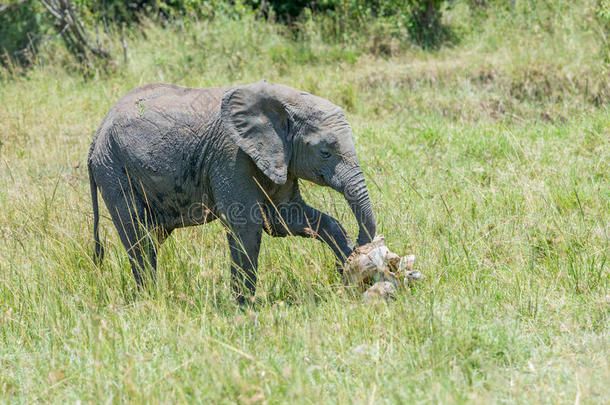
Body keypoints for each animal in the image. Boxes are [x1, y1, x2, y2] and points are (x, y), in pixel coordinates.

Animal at [87, 79, 376, 300]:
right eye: (325, 152)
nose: (361, 249)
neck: (284, 100)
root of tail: (96, 134)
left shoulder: (279, 157)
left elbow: (286, 219)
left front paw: (347, 266)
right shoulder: (231, 156)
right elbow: (246, 225)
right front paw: (244, 308)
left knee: (151, 237)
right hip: (113, 169)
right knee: (139, 236)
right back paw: (149, 300)